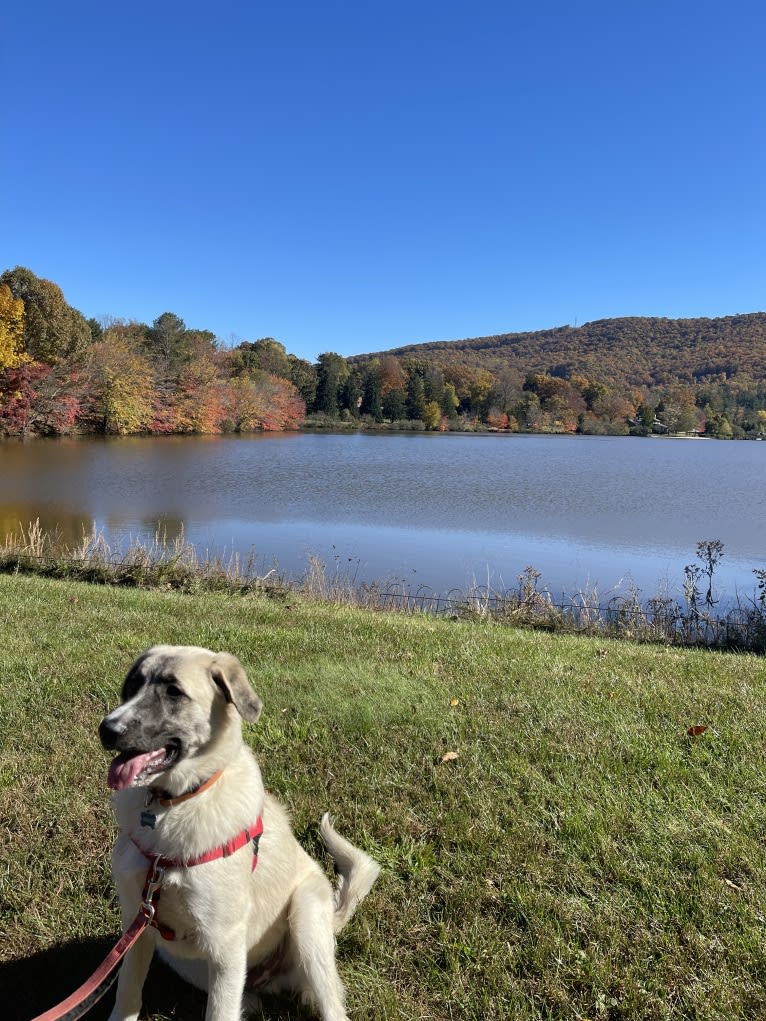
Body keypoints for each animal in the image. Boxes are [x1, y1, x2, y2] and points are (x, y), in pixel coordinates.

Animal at [99, 645, 381, 1021]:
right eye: (131, 686)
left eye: (174, 691)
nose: (106, 729)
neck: (174, 806)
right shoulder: (137, 925)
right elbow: (128, 995)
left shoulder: (225, 944)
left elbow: (218, 1013)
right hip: (182, 959)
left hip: (305, 918)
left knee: (332, 1007)